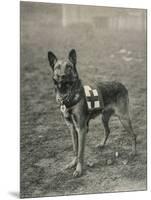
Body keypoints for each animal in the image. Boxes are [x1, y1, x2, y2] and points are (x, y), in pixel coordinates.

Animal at [47, 49, 136, 177]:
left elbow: (80, 152)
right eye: (57, 67)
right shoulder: (72, 129)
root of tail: (121, 85)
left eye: (69, 67)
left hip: (123, 118)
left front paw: (79, 169)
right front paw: (73, 163)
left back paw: (133, 152)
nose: (62, 76)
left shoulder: (81, 129)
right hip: (104, 117)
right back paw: (102, 144)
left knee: (133, 135)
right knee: (107, 131)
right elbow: (75, 149)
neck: (68, 94)